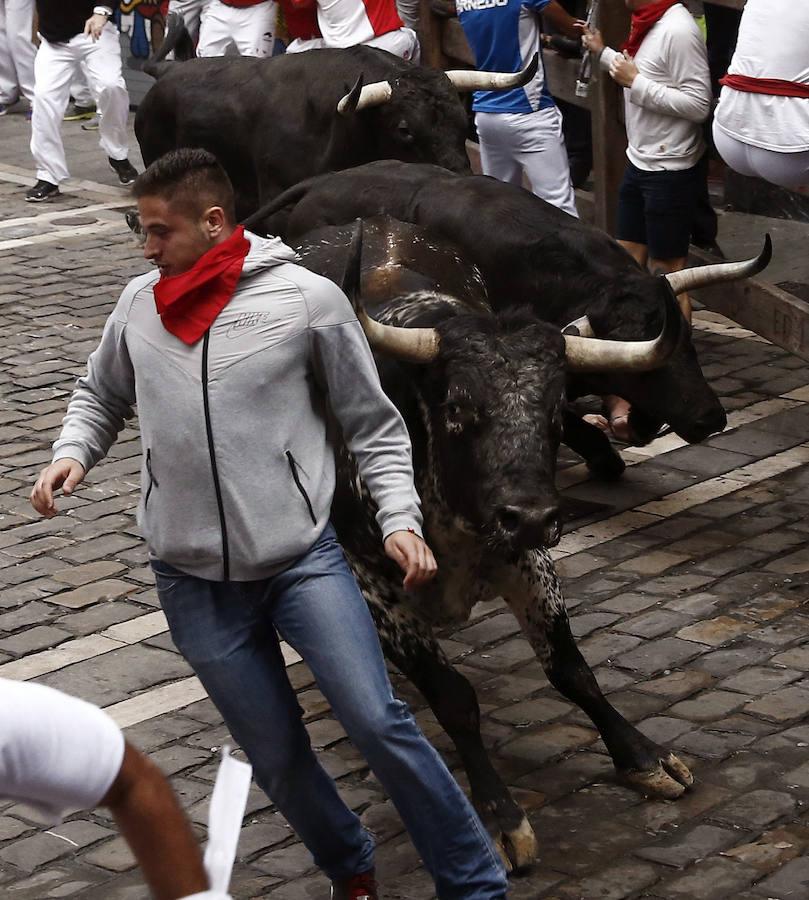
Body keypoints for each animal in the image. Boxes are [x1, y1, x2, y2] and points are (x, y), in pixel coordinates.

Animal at [292, 218, 696, 872]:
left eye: (557, 411)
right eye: (458, 407)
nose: (529, 515)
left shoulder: (528, 561)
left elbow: (571, 669)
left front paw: (643, 756)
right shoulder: (371, 583)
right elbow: (455, 697)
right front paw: (501, 816)